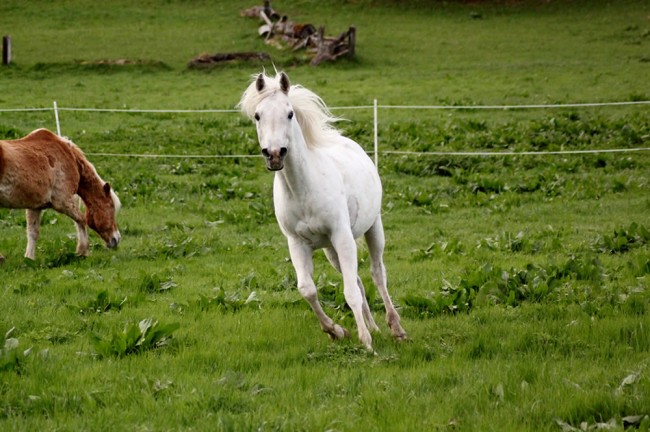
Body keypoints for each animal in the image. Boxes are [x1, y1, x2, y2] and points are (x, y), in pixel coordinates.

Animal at [0, 128, 121, 260]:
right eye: (111, 208)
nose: (116, 239)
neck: (70, 158)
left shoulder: (35, 206)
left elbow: (32, 233)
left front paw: (29, 258)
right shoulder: (63, 202)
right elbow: (82, 220)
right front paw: (82, 251)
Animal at [238, 71, 404, 352]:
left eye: (290, 113)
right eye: (257, 116)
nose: (274, 154)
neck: (303, 189)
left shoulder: (342, 235)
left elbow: (350, 292)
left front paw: (365, 342)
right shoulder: (297, 243)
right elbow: (308, 289)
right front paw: (337, 331)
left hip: (372, 229)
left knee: (377, 274)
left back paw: (396, 329)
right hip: (331, 250)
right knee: (358, 279)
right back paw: (374, 327)